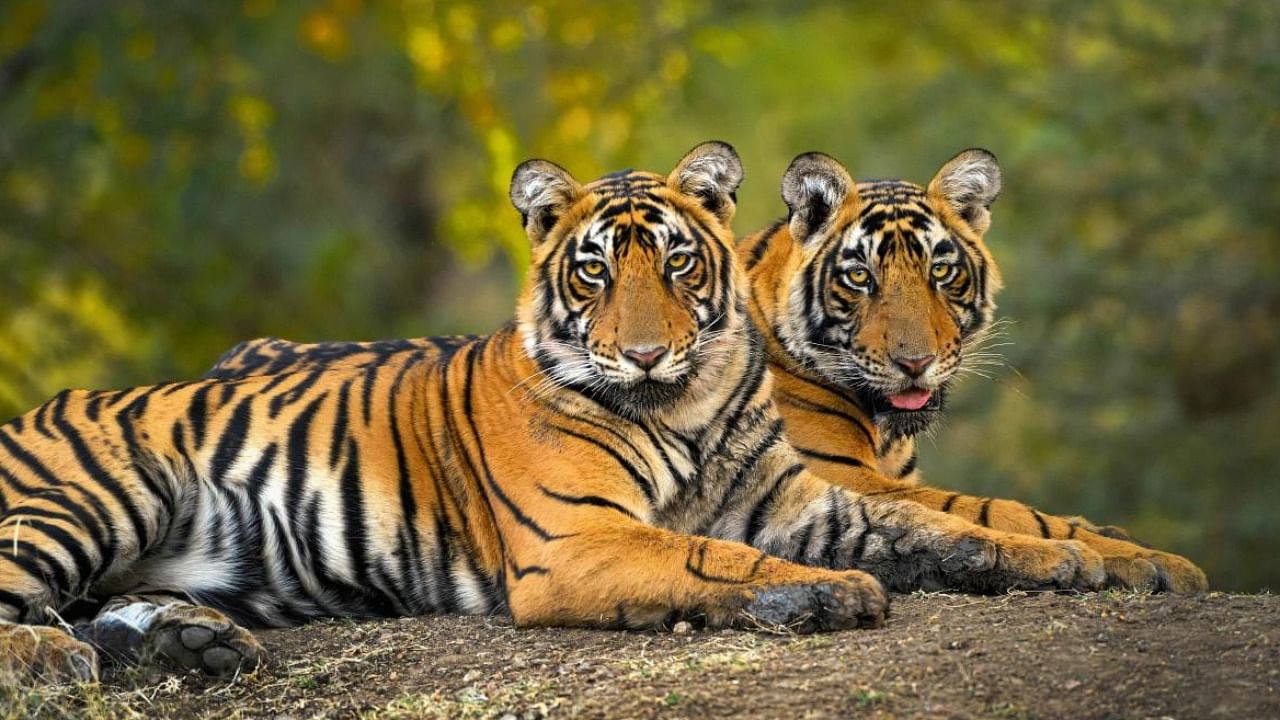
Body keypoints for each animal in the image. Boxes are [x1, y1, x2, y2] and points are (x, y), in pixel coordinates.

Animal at [0, 140, 1116, 681]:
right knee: (23, 609)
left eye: (676, 263)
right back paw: (61, 659)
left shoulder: (804, 502)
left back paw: (192, 645)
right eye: (593, 270)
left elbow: (944, 525)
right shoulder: (578, 539)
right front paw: (829, 594)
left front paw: (1068, 559)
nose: (646, 350)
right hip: (94, 495)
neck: (686, 403)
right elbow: (711, 557)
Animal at [737, 146, 1203, 589]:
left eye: (941, 271)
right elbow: (996, 512)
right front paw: (1147, 559)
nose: (915, 362)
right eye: (859, 277)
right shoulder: (832, 473)